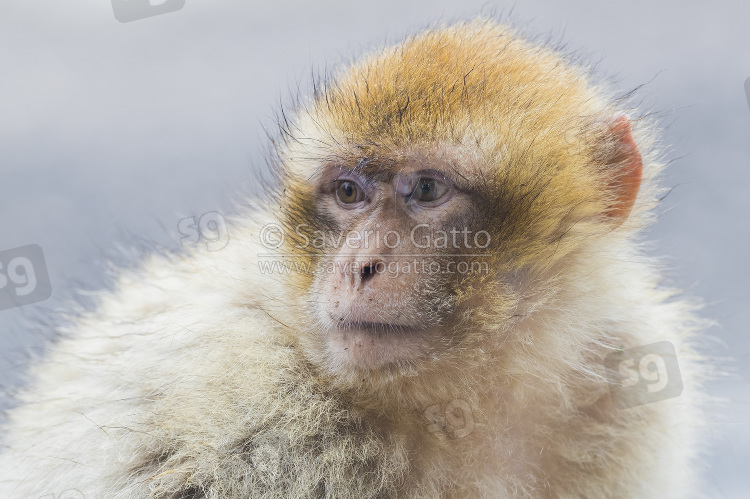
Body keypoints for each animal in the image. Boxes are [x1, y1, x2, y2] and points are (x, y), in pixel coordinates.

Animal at [0, 17, 712, 498]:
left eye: (426, 190)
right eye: (348, 192)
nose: (355, 266)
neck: (464, 399)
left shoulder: (621, 372)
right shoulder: (255, 424)